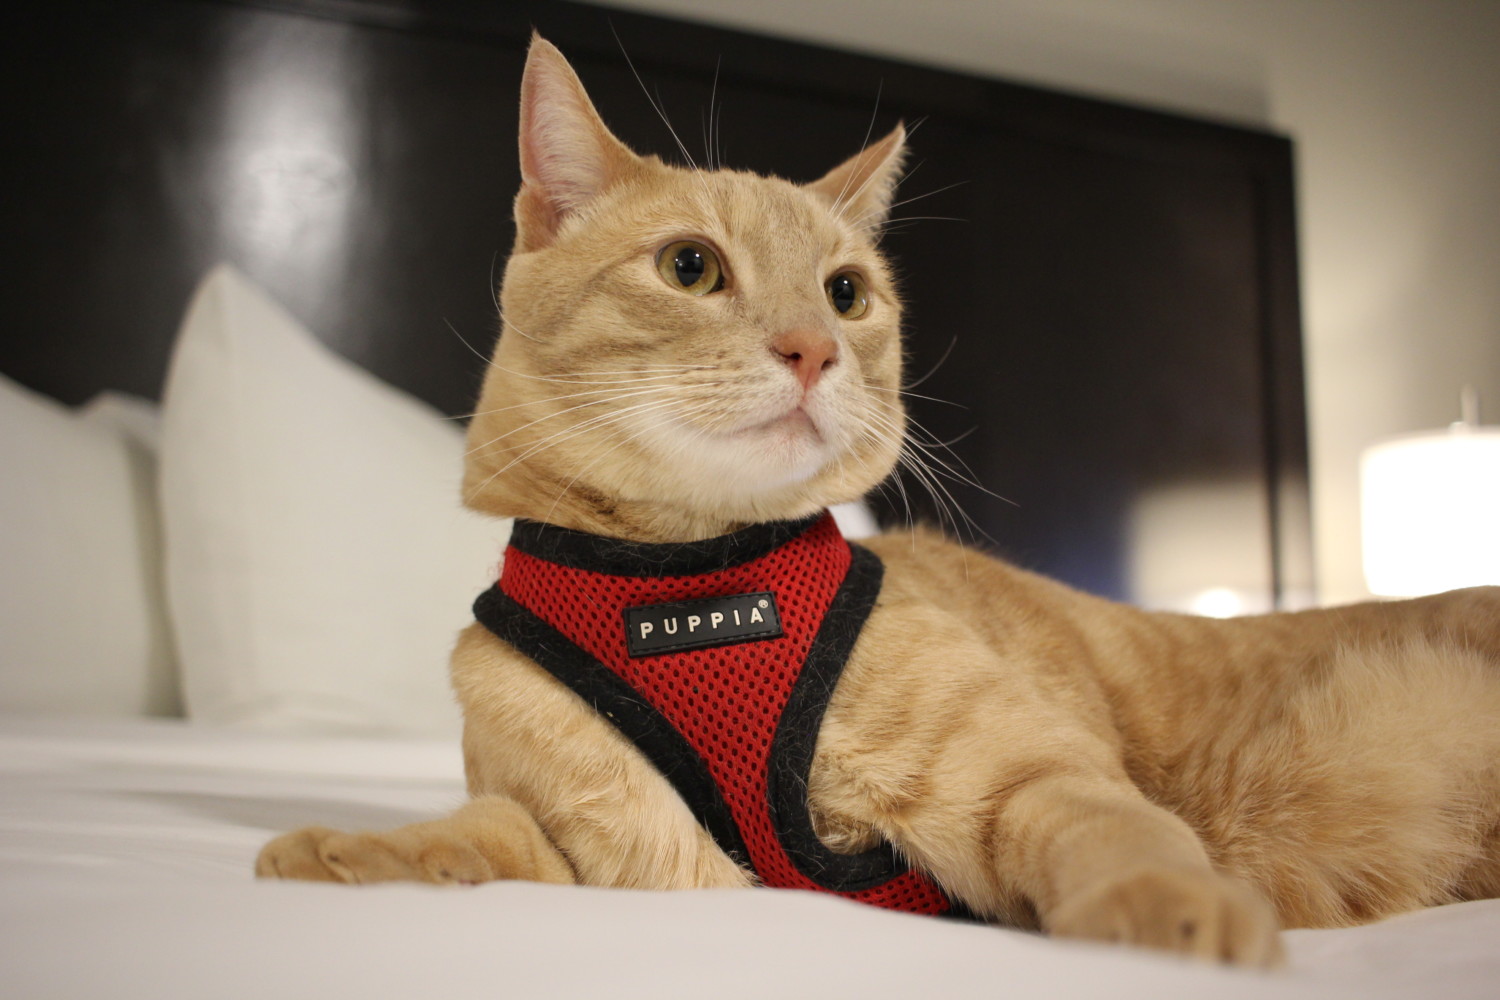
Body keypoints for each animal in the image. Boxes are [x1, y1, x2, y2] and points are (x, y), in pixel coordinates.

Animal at [258, 35, 1500, 965]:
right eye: (690, 268)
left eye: (847, 293)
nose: (812, 348)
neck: (684, 579)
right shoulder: (623, 847)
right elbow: (489, 830)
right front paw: (360, 851)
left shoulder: (1026, 775)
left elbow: (1118, 835)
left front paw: (1176, 915)